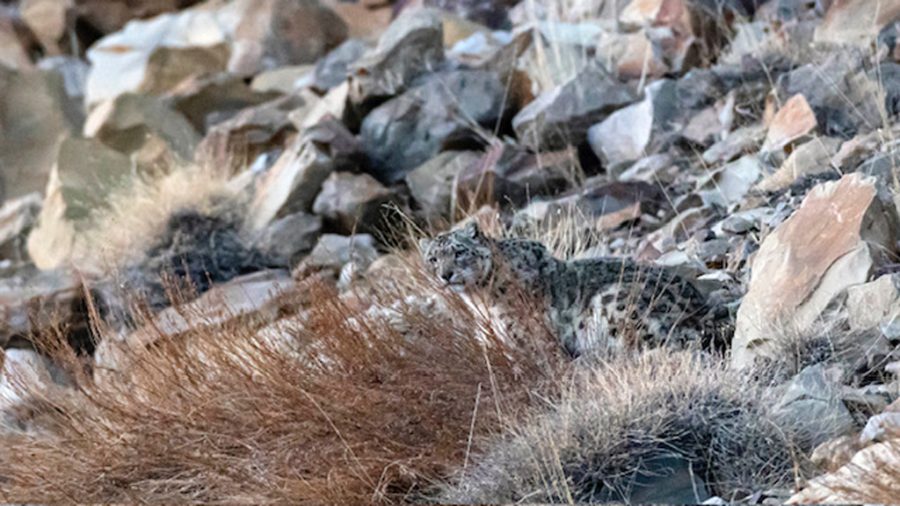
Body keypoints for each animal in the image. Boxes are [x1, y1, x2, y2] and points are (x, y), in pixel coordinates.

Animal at [419, 221, 731, 357]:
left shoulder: (530, 339)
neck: (479, 301)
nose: (446, 274)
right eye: (432, 258)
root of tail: (700, 308)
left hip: (613, 301)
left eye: (458, 251)